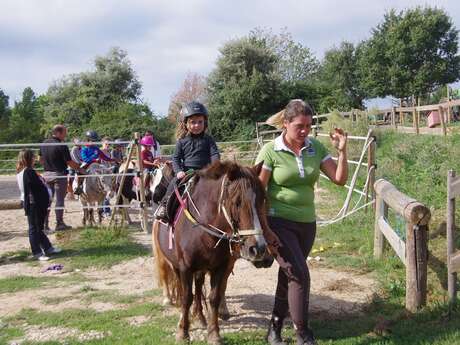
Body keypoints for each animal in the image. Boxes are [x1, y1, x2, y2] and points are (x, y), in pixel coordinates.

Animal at [153, 161, 278, 344]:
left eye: (262, 200)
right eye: (237, 202)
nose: (259, 249)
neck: (203, 229)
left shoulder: (219, 267)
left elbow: (214, 297)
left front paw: (214, 334)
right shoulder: (185, 268)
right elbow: (186, 297)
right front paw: (183, 332)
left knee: (198, 289)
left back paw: (200, 317)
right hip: (176, 266)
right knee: (186, 292)